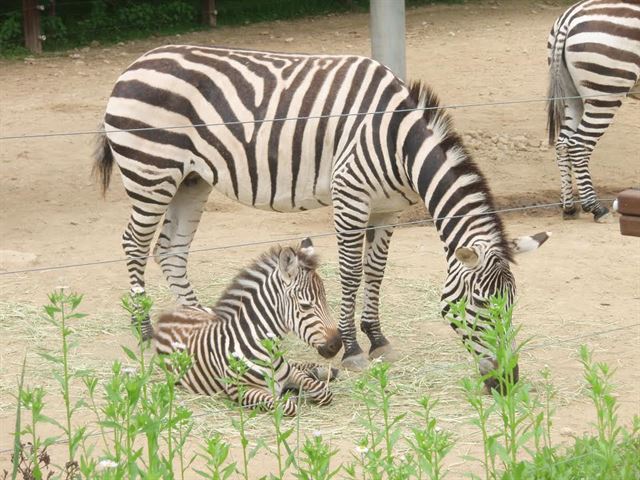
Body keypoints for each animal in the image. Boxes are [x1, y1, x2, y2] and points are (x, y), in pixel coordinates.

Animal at [95, 44, 552, 390]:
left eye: (512, 305)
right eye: (479, 307)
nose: (507, 381)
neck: (399, 142)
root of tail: (136, 63)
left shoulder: (387, 210)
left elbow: (376, 273)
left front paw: (377, 338)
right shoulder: (351, 199)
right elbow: (351, 273)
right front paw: (352, 348)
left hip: (191, 179)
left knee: (171, 249)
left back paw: (200, 323)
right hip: (151, 171)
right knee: (134, 243)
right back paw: (144, 331)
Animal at [153, 238, 342, 414]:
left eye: (325, 299)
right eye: (305, 306)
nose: (337, 344)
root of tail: (169, 314)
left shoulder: (290, 374)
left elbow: (323, 391)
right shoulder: (242, 391)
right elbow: (289, 406)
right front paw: (294, 395)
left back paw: (321, 371)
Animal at [544, 0, 640, 221]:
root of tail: (569, 17)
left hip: (572, 96)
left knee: (563, 144)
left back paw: (569, 207)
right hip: (606, 91)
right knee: (579, 145)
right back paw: (595, 207)